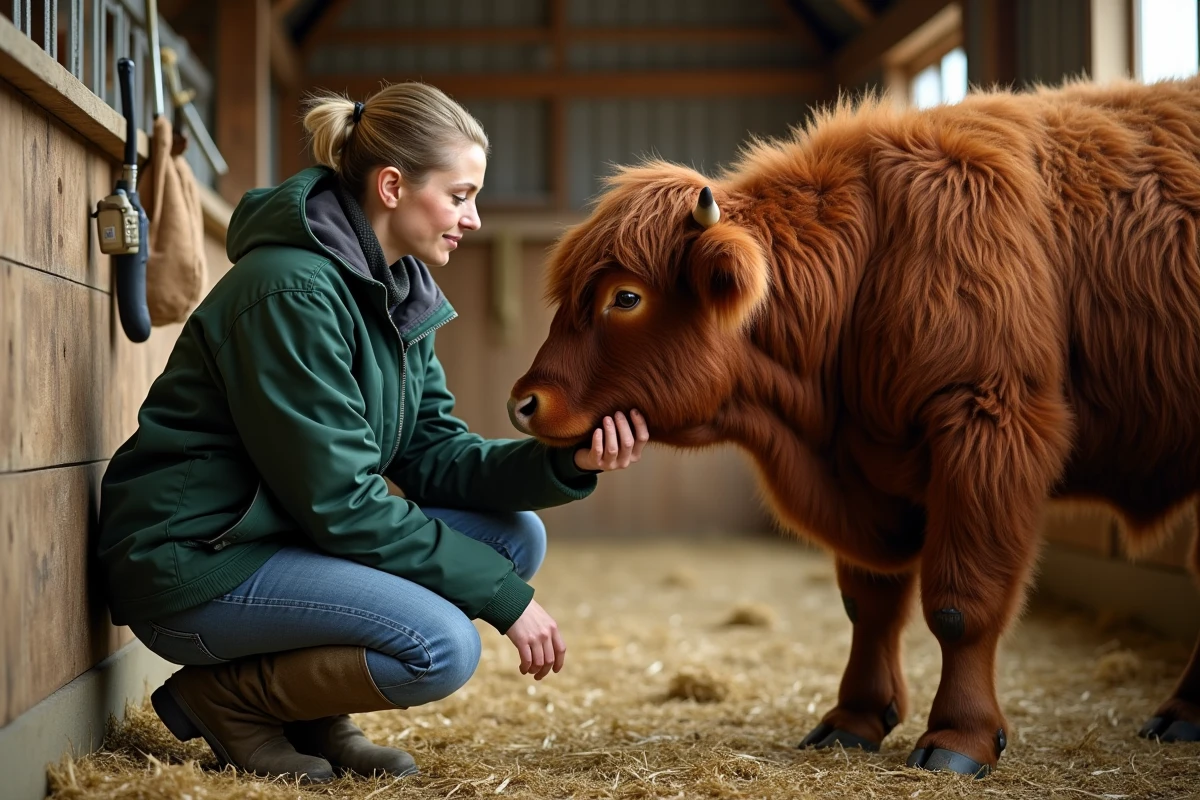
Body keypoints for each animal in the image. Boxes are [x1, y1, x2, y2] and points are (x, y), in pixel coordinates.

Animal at [507, 75, 1200, 778]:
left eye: (625, 296)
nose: (525, 402)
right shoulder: (868, 466)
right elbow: (868, 605)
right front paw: (854, 719)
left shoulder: (986, 432)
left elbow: (960, 606)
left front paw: (960, 736)